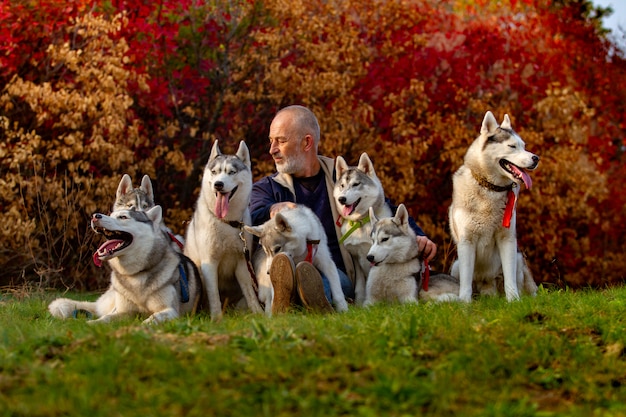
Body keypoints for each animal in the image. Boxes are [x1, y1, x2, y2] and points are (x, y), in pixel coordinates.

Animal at [48, 206, 200, 324]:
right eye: (110, 215)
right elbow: (106, 318)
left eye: (123, 217)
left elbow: (152, 318)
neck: (135, 274)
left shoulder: (170, 311)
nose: (95, 216)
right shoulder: (123, 311)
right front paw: (91, 324)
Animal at [184, 140, 264, 318]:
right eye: (214, 172)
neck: (226, 222)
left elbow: (250, 292)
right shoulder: (209, 263)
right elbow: (214, 295)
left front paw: (258, 313)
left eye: (231, 172)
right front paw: (216, 318)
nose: (218, 184)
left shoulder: (242, 263)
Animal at [332, 152, 390, 302]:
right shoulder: (355, 257)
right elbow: (360, 285)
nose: (341, 199)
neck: (359, 223)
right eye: (342, 185)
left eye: (356, 184)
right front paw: (359, 302)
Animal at [448, 111, 536, 302]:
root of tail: (487, 285)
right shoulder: (466, 242)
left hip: (518, 258)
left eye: (524, 146)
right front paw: (464, 303)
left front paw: (514, 300)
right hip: (456, 266)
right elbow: (465, 282)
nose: (536, 158)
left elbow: (510, 279)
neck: (490, 189)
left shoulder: (507, 239)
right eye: (512, 146)